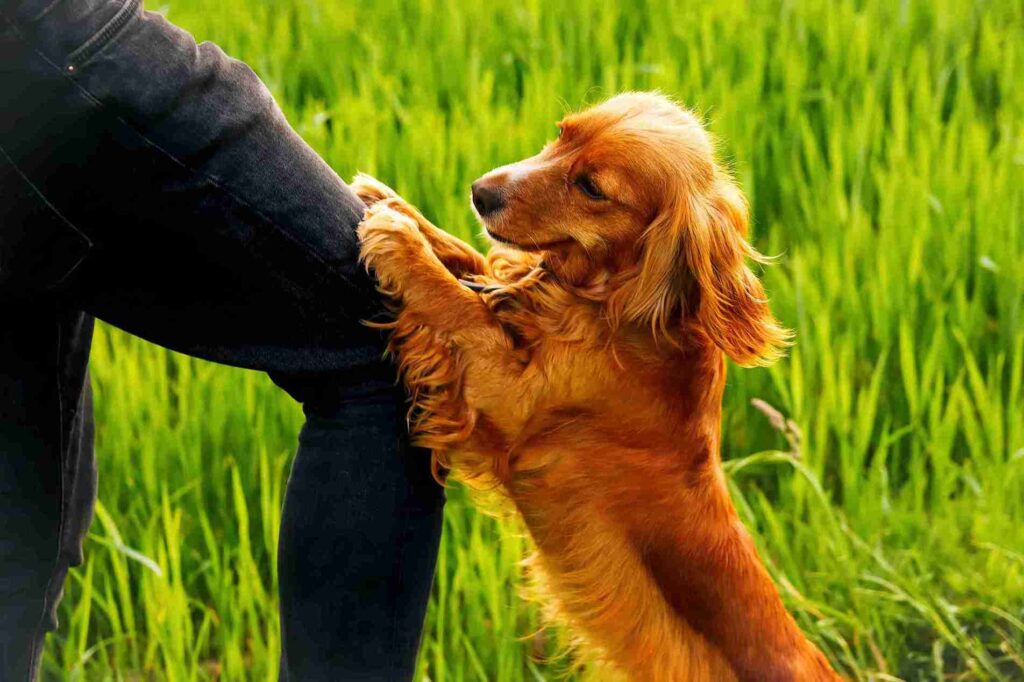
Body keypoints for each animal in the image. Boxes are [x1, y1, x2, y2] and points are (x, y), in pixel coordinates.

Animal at [352, 91, 839, 679]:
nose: (481, 191)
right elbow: (472, 268)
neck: (612, 306)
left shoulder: (508, 400)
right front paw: (395, 205)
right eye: (561, 134)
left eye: (591, 187)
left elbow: (459, 307)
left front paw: (399, 241)